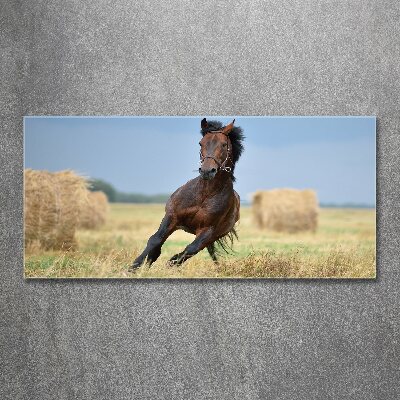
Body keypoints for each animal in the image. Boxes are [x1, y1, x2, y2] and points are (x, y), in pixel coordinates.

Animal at [130, 117, 245, 270]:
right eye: (201, 143)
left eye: (224, 144)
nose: (207, 171)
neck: (205, 194)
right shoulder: (172, 217)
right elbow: (155, 240)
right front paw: (135, 266)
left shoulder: (208, 230)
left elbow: (191, 249)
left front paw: (171, 262)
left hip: (214, 235)